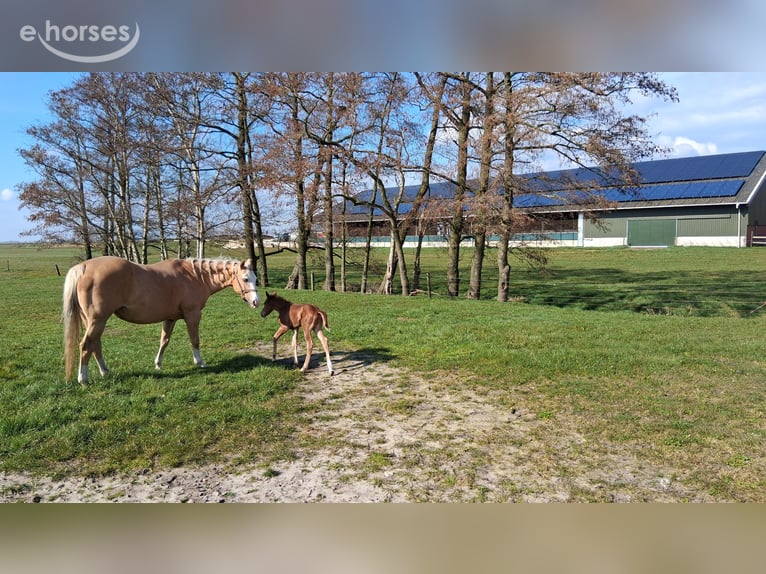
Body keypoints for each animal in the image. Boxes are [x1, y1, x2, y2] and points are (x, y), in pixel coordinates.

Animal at [63, 256, 260, 383]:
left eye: (256, 279)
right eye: (245, 278)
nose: (256, 302)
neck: (193, 276)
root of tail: (83, 267)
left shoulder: (170, 318)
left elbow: (164, 341)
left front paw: (158, 364)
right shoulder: (193, 314)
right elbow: (195, 340)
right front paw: (200, 362)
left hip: (94, 321)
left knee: (95, 345)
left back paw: (104, 371)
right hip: (98, 320)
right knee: (86, 345)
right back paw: (83, 378)